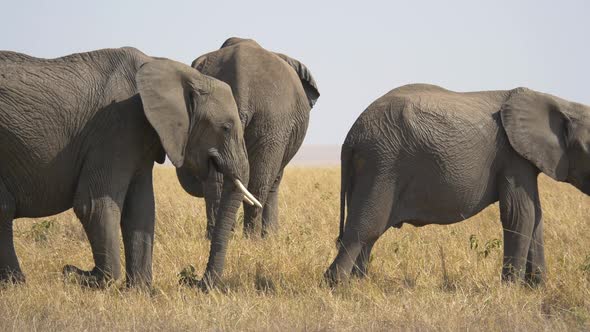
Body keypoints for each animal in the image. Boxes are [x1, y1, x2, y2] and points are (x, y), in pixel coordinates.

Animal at [0, 47, 260, 288]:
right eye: (226, 127)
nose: (191, 280)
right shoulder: (115, 127)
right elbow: (93, 205)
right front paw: (84, 276)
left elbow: (141, 209)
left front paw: (140, 290)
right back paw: (19, 283)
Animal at [178, 37, 322, 237]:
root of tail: (242, 83)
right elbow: (274, 180)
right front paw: (271, 237)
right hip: (273, 122)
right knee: (259, 183)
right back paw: (251, 238)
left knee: (216, 182)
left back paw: (218, 235)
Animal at [326, 83, 590, 286]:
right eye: (588, 148)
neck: (561, 103)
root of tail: (351, 136)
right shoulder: (513, 156)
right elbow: (520, 214)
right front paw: (512, 290)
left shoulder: (523, 158)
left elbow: (536, 216)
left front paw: (536, 288)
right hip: (382, 164)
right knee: (363, 230)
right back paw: (339, 287)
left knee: (369, 234)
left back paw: (360, 284)